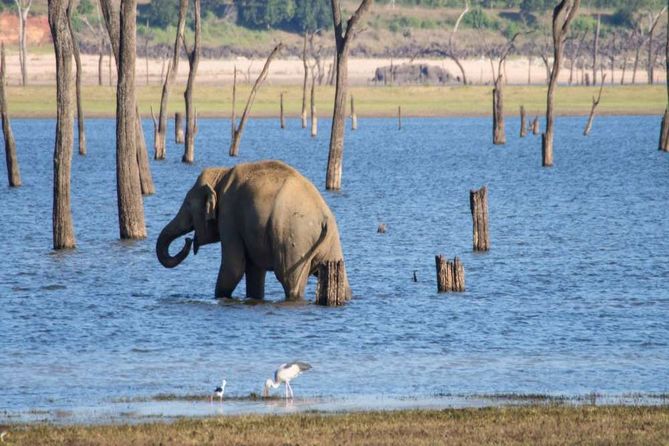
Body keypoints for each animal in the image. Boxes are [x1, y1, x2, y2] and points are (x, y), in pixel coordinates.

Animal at [153, 159, 350, 302]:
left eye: (187, 204)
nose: (188, 241)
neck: (221, 173)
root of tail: (323, 216)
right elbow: (254, 271)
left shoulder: (229, 215)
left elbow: (234, 267)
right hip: (329, 243)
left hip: (293, 239)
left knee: (289, 280)